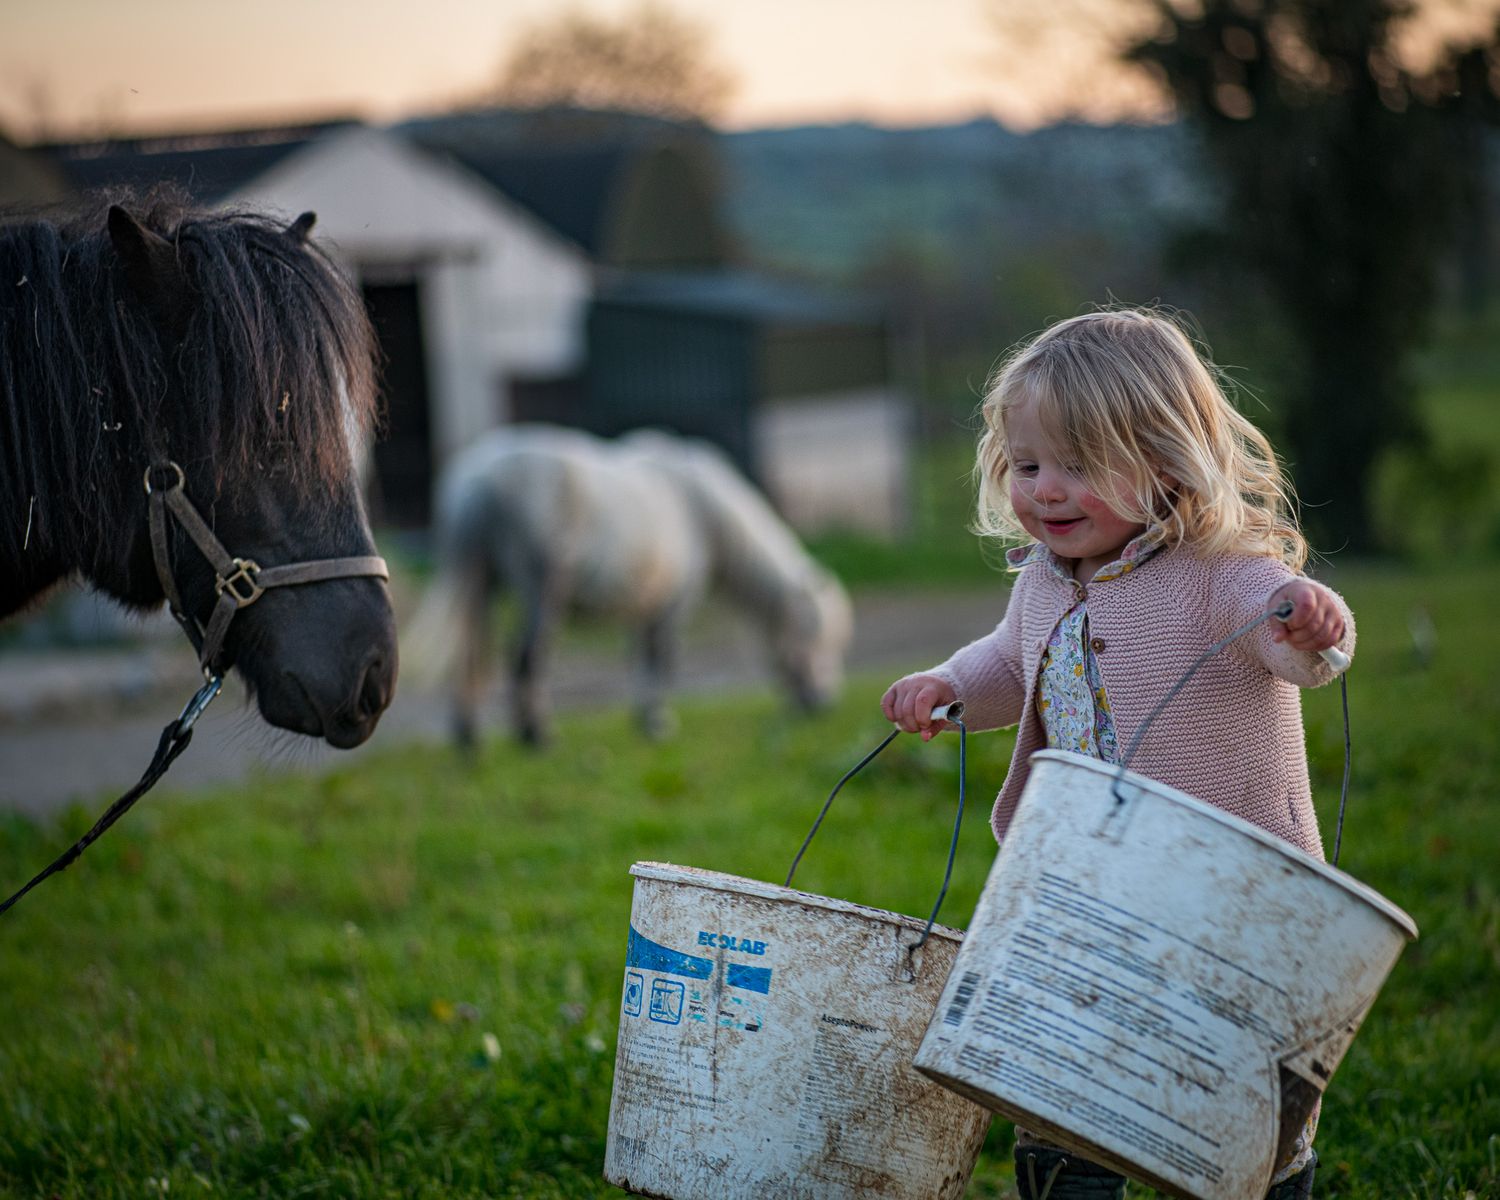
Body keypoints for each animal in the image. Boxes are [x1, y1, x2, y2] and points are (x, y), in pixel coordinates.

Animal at [407, 424, 851, 746]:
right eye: (817, 635)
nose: (822, 705)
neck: (699, 506)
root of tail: (479, 480)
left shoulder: (644, 605)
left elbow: (639, 656)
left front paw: (645, 720)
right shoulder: (671, 607)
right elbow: (660, 660)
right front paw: (658, 724)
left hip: (483, 585)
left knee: (470, 653)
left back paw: (469, 738)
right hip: (542, 591)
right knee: (527, 657)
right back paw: (537, 735)